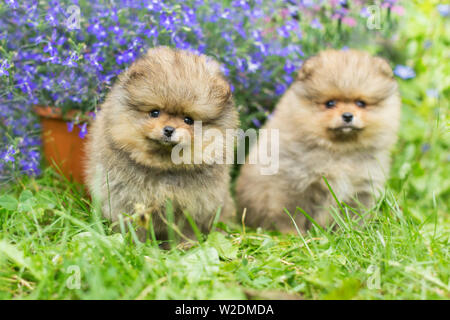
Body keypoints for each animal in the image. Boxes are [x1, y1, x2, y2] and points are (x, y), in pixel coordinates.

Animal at [85, 46, 239, 242]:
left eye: (188, 120)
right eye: (155, 112)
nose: (169, 129)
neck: (164, 165)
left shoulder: (192, 209)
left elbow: (184, 231)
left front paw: (185, 245)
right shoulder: (126, 201)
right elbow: (134, 228)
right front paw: (136, 244)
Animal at [236, 50, 400, 234]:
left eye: (360, 103)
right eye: (330, 103)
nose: (348, 115)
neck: (340, 152)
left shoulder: (361, 188)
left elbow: (355, 216)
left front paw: (352, 232)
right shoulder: (294, 183)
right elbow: (291, 215)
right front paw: (294, 235)